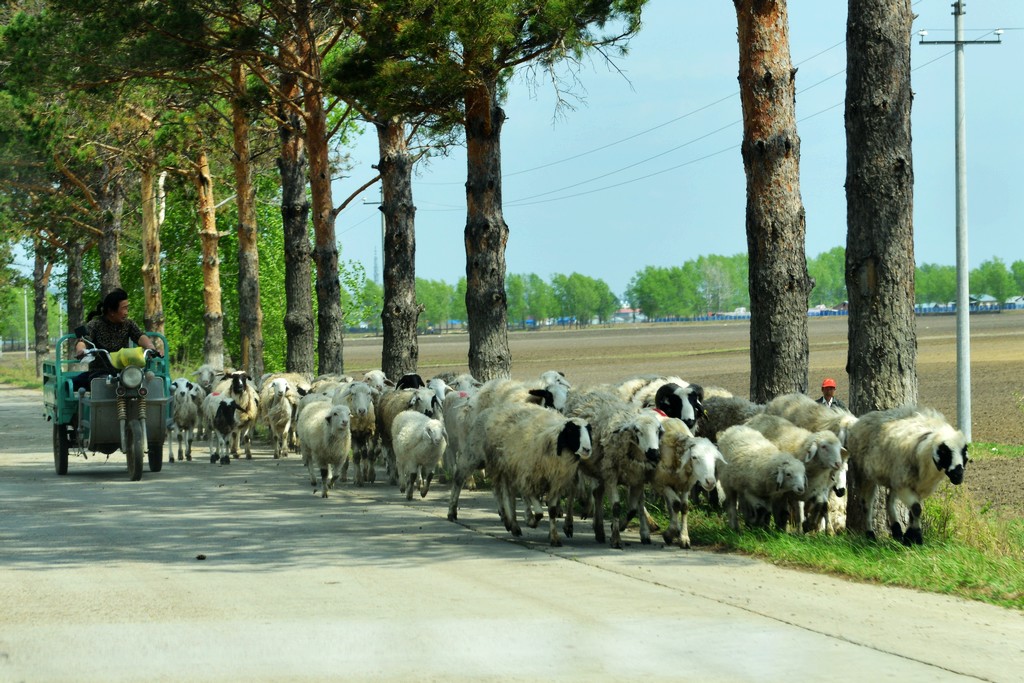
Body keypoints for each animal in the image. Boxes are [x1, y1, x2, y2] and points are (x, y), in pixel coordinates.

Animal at [471, 403, 593, 548]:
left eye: (589, 431)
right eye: (571, 431)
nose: (587, 449)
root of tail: (505, 408)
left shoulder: (555, 483)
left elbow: (552, 511)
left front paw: (554, 538)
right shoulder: (531, 480)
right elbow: (539, 512)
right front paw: (532, 522)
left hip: (512, 469)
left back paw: (514, 523)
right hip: (501, 467)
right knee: (506, 495)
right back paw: (512, 525)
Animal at [839, 405, 966, 544]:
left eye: (964, 452)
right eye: (944, 452)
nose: (958, 475)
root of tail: (856, 421)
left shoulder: (917, 487)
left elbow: (913, 511)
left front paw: (909, 537)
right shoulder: (905, 485)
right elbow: (916, 508)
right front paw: (916, 537)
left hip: (895, 478)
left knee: (889, 501)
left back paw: (897, 531)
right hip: (866, 475)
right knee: (867, 505)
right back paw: (871, 535)